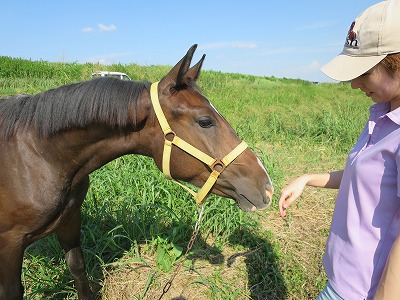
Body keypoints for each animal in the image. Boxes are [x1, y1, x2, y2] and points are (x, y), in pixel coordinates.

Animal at [0, 45, 274, 300]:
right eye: (205, 121)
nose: (267, 187)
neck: (39, 156)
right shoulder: (9, 243)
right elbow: (13, 291)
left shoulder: (70, 219)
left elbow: (77, 266)